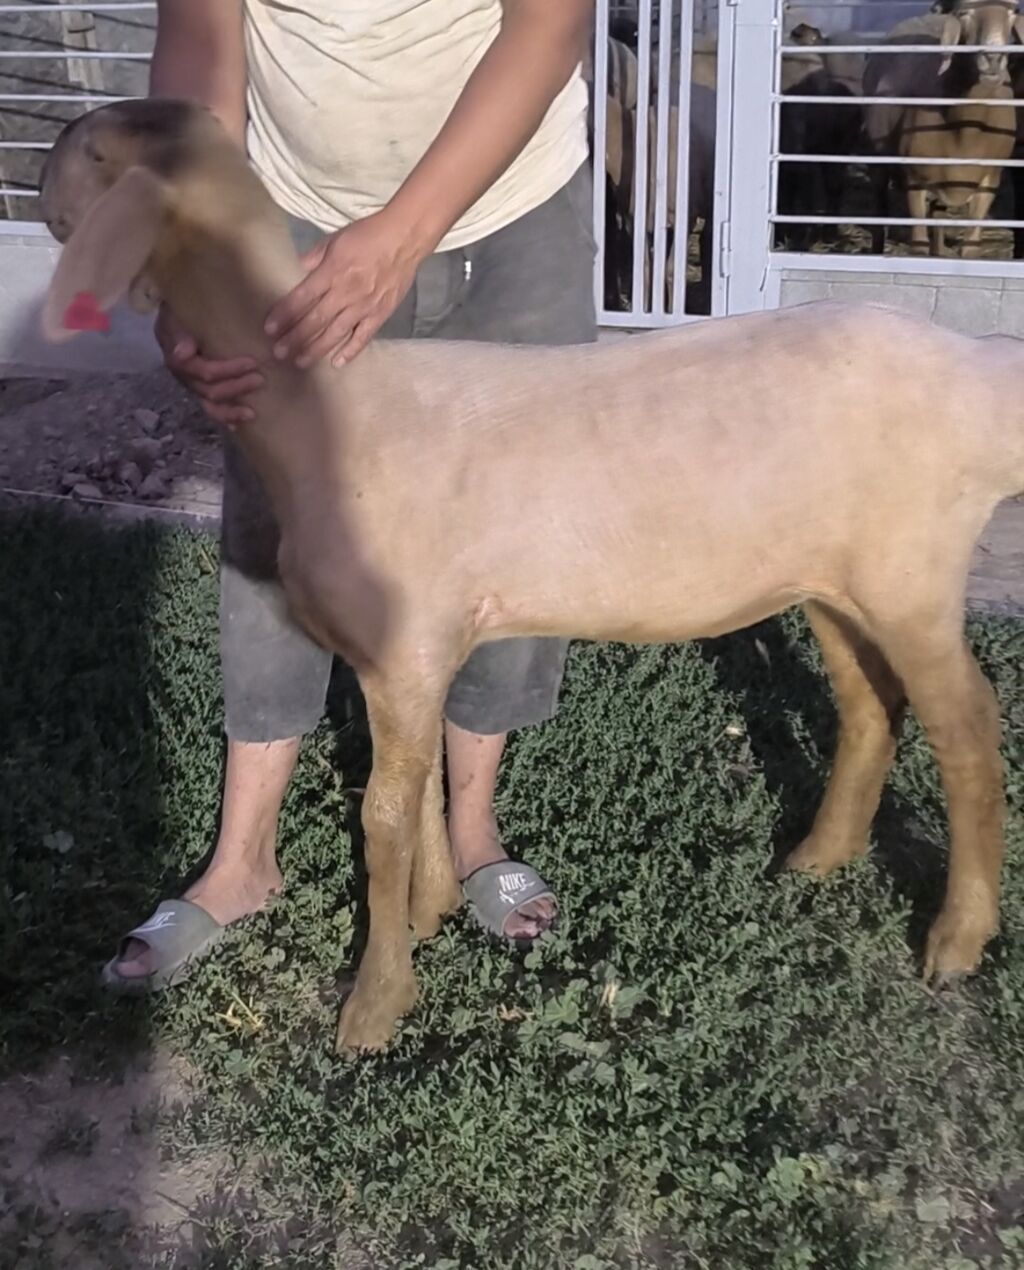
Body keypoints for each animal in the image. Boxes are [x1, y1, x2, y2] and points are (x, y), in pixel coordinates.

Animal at [39, 99, 1024, 1055]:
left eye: (95, 153)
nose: (40, 184)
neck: (326, 406)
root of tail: (981, 375)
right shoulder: (418, 649)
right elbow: (420, 786)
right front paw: (433, 911)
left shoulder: (406, 645)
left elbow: (382, 817)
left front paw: (375, 1004)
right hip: (833, 577)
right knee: (870, 705)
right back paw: (820, 858)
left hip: (912, 574)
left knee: (969, 731)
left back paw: (957, 940)